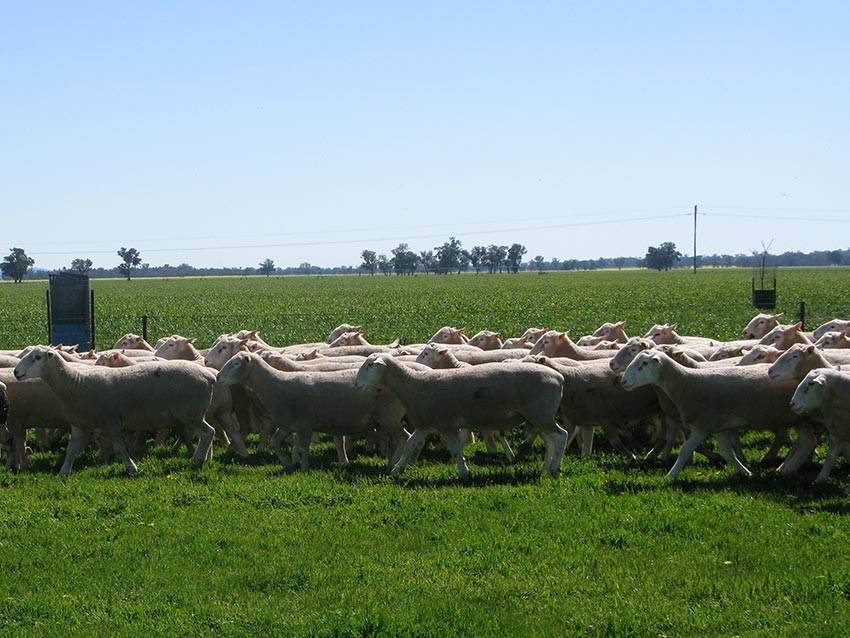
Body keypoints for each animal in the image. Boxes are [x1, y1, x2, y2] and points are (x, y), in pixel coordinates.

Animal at [13, 348, 217, 478]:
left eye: (37, 357)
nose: (15, 372)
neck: (75, 382)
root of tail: (209, 376)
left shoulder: (110, 422)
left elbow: (119, 448)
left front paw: (131, 468)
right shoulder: (78, 424)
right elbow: (71, 450)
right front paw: (63, 472)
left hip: (191, 412)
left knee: (208, 432)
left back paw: (198, 460)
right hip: (197, 413)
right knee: (207, 434)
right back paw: (206, 458)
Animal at [217, 352, 406, 472]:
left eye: (235, 363)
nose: (218, 377)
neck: (275, 384)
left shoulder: (304, 424)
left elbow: (303, 448)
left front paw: (304, 468)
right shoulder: (287, 425)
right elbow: (274, 442)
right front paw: (288, 463)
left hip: (389, 416)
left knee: (403, 438)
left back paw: (395, 465)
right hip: (385, 419)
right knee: (394, 441)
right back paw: (391, 463)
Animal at [354, 356, 568, 480]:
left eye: (370, 365)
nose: (356, 384)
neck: (412, 384)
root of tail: (559, 377)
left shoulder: (445, 424)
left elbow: (456, 449)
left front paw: (464, 472)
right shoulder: (425, 424)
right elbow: (410, 445)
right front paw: (396, 470)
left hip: (540, 413)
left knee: (561, 436)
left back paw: (555, 468)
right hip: (537, 416)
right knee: (551, 440)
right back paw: (545, 469)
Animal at [620, 350, 804, 480]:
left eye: (643, 364)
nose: (623, 381)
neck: (685, 381)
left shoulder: (703, 424)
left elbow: (685, 450)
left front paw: (671, 475)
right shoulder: (717, 427)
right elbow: (727, 453)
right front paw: (745, 472)